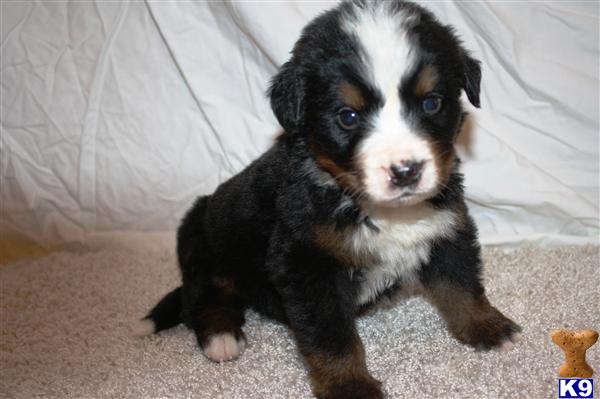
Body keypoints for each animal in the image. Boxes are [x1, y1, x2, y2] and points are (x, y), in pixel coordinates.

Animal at [136, 1, 520, 398]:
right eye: (347, 116)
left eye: (431, 103)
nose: (405, 170)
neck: (384, 212)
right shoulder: (307, 264)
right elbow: (331, 338)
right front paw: (350, 386)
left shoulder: (446, 227)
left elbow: (462, 285)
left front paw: (487, 326)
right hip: (202, 244)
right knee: (202, 299)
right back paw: (221, 337)